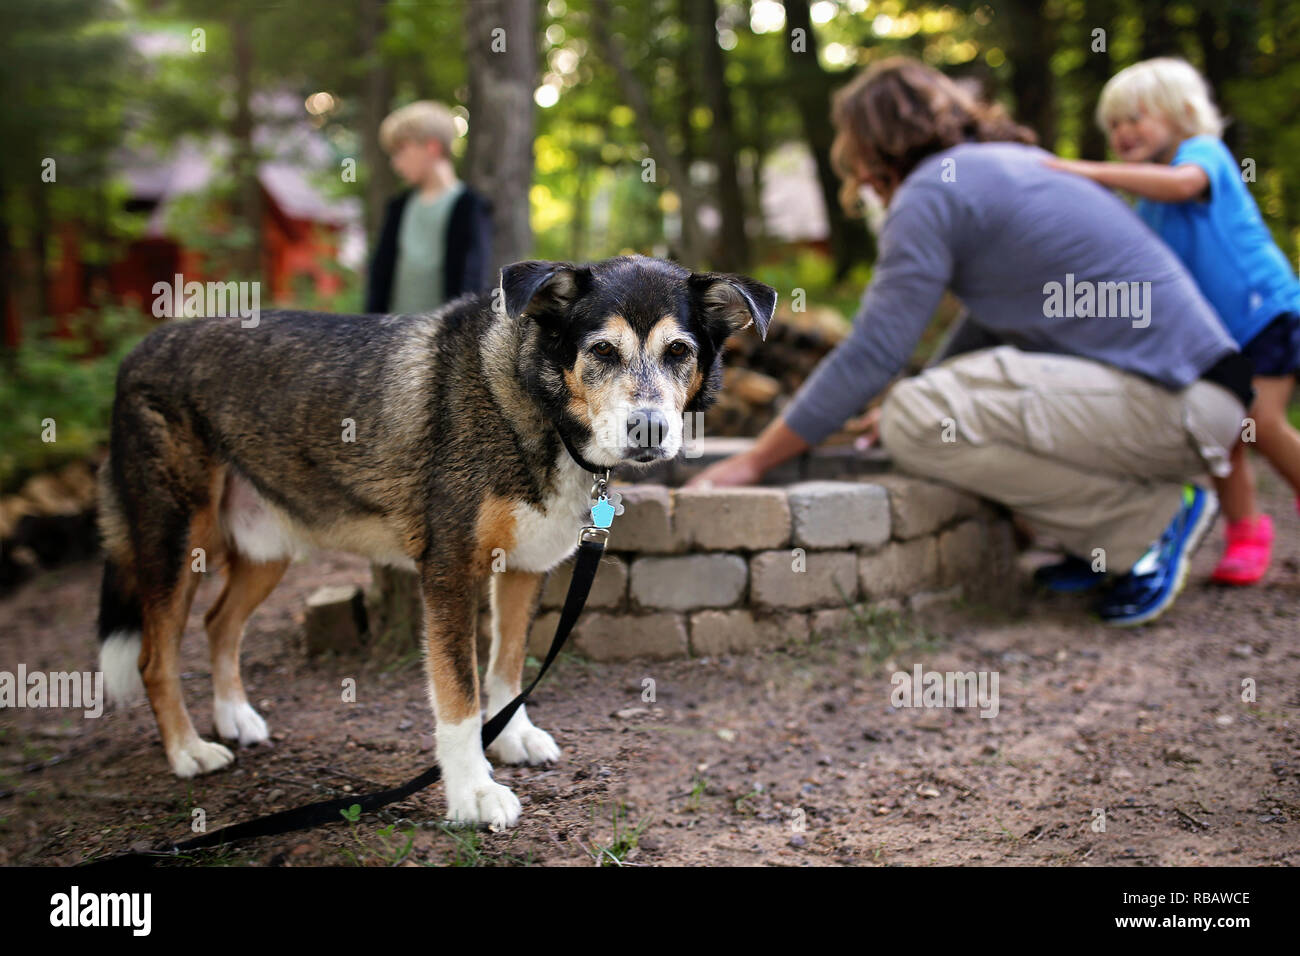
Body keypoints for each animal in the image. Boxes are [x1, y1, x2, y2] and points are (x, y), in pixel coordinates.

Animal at [98, 256, 769, 832]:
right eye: (602, 351)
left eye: (679, 352)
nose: (649, 429)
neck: (529, 399)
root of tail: (138, 351)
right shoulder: (449, 571)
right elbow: (460, 696)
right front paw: (473, 791)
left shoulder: (525, 568)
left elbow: (505, 667)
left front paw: (512, 736)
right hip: (177, 539)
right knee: (154, 657)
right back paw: (188, 750)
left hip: (269, 546)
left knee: (219, 623)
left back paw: (234, 716)